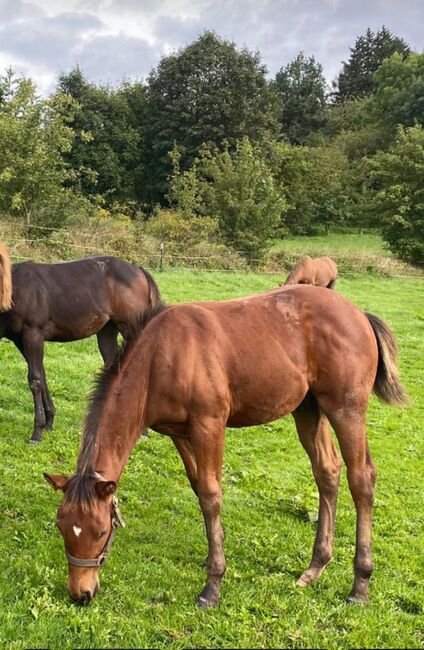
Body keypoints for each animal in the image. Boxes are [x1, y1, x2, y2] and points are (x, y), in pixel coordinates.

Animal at [0, 240, 161, 442]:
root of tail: (139, 270)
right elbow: (42, 375)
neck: (15, 290)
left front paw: (36, 432)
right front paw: (49, 422)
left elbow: (35, 379)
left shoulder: (33, 333)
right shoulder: (20, 340)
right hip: (107, 331)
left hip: (131, 328)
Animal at [44, 284, 408, 608]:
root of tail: (358, 313)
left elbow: (211, 495)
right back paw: (315, 567)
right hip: (308, 408)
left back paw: (360, 585)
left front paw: (213, 586)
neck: (162, 356)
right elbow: (198, 488)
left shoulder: (210, 425)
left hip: (346, 408)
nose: (80, 593)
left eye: (101, 531)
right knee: (327, 471)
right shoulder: (178, 433)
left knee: (361, 478)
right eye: (61, 526)